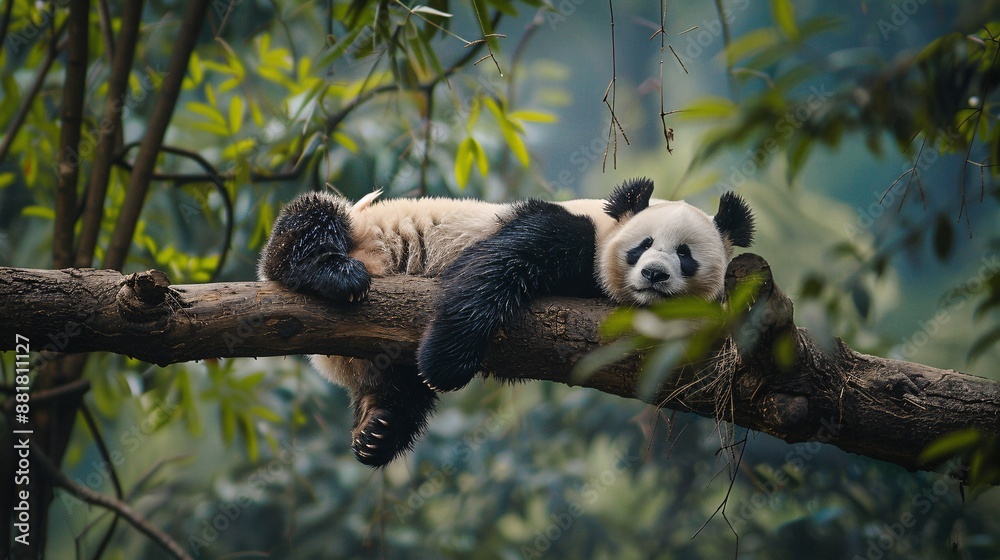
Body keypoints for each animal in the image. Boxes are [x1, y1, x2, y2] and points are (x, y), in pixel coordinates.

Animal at [258, 177, 754, 467]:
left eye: (685, 254)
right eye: (644, 245)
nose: (654, 274)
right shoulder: (566, 227)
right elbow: (493, 266)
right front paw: (447, 364)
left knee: (401, 389)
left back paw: (377, 430)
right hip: (360, 227)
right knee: (313, 217)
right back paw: (334, 274)